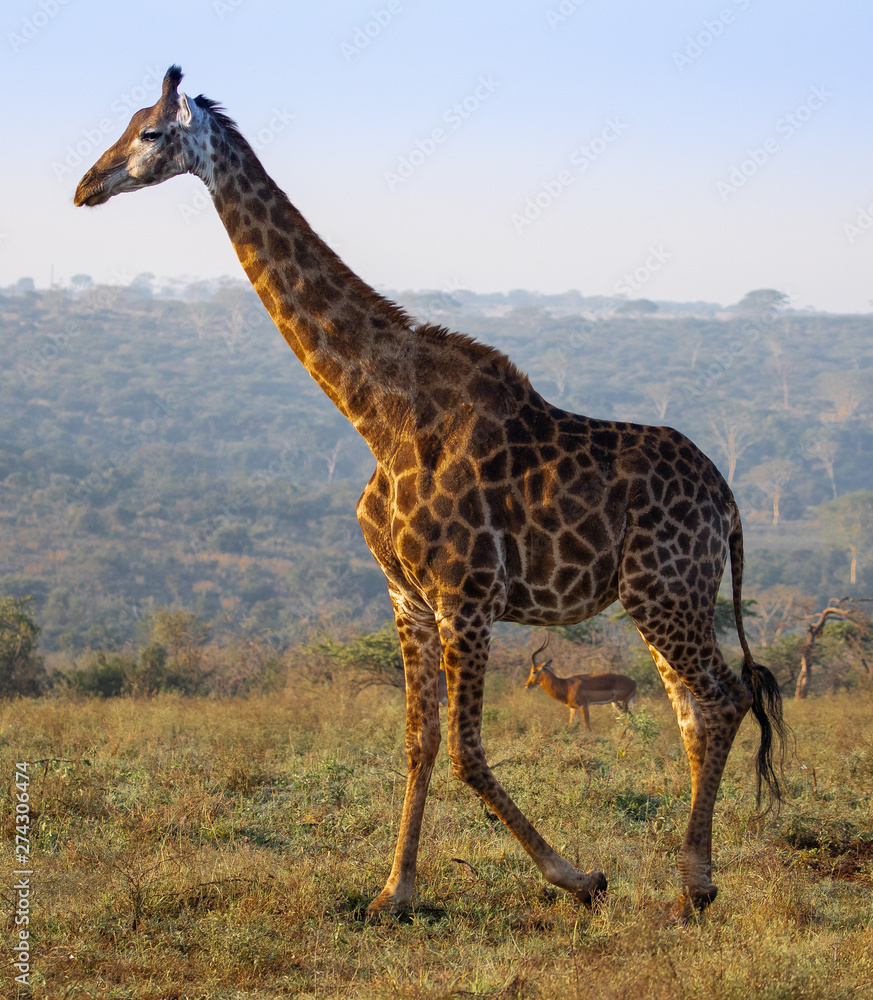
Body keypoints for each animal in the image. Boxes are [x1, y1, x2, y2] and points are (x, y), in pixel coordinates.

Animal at [75, 66, 786, 921]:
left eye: (149, 133)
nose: (86, 186)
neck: (376, 413)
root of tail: (728, 501)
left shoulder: (465, 597)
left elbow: (468, 754)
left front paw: (576, 876)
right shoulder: (406, 596)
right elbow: (420, 742)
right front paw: (395, 891)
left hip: (666, 589)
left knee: (721, 699)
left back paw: (694, 888)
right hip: (658, 596)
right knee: (692, 709)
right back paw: (692, 882)